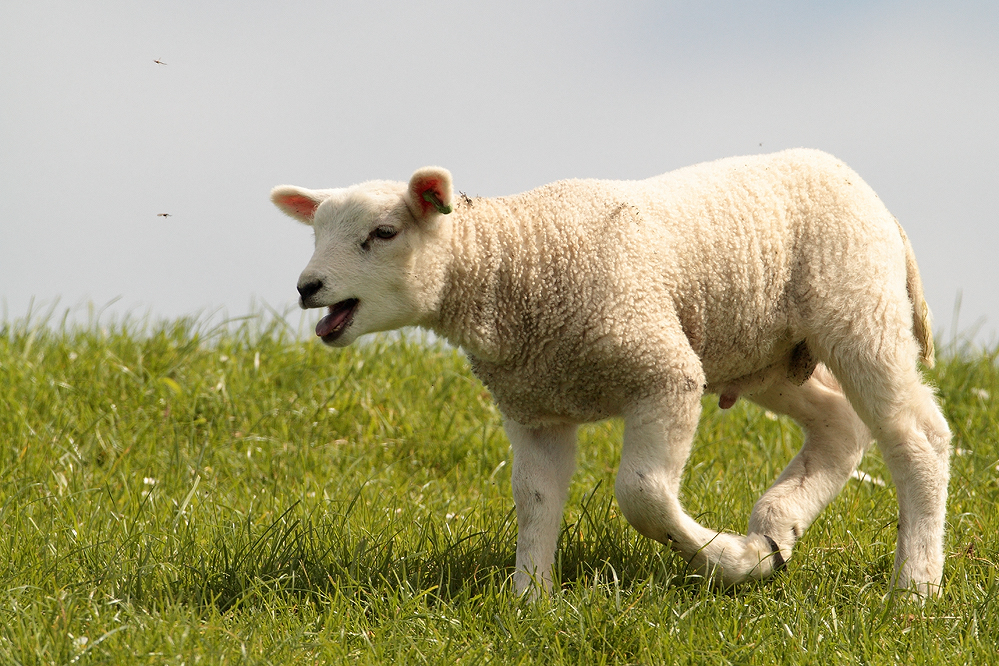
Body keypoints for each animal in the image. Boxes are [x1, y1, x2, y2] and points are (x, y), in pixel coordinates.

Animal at [272, 149, 952, 596]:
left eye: (383, 232)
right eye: (316, 233)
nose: (307, 286)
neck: (511, 261)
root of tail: (871, 197)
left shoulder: (664, 372)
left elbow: (642, 495)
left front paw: (734, 561)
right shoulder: (535, 407)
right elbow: (535, 502)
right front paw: (530, 602)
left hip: (858, 306)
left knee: (918, 437)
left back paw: (913, 586)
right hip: (769, 354)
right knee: (840, 425)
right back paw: (778, 526)